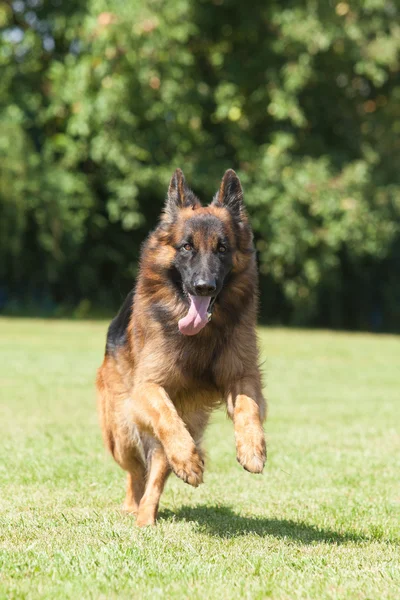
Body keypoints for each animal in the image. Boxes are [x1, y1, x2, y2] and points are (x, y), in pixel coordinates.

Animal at [96, 169, 266, 524]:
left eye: (222, 248)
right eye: (187, 246)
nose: (204, 286)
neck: (201, 337)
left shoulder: (241, 374)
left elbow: (248, 407)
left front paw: (252, 448)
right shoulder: (148, 388)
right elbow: (165, 417)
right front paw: (188, 460)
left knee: (157, 472)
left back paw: (147, 515)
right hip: (122, 434)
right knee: (137, 473)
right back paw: (137, 509)